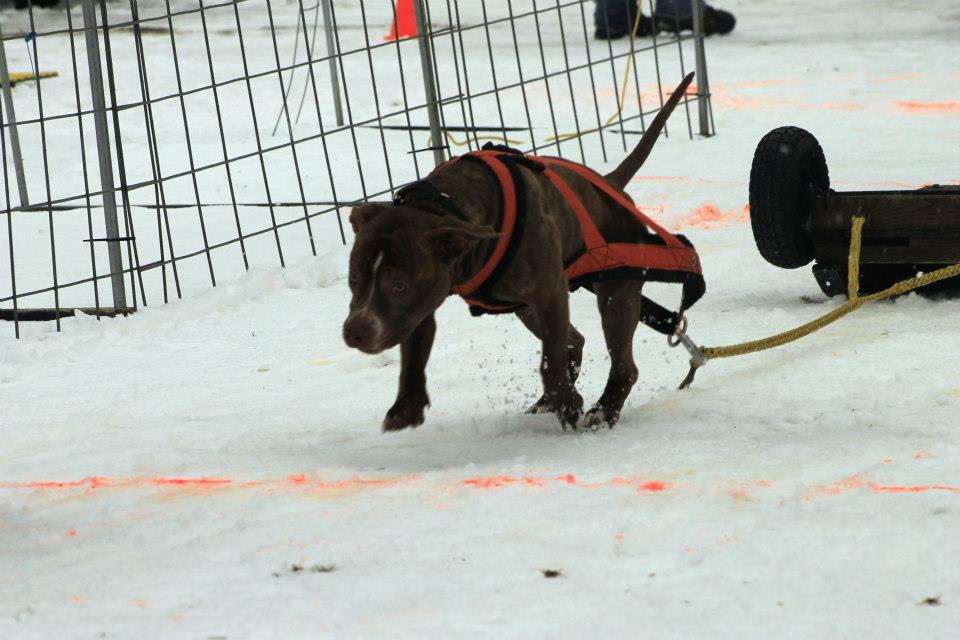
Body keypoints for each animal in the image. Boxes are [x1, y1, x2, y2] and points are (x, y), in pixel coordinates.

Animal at [344, 72, 696, 432]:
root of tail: (610, 184)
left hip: (615, 292)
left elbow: (550, 360)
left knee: (621, 363)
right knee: (575, 341)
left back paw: (603, 410)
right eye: (354, 279)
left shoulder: (550, 291)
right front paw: (408, 406)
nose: (355, 331)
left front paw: (568, 403)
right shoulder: (424, 302)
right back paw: (551, 402)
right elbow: (413, 357)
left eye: (399, 285)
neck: (446, 203)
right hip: (525, 307)